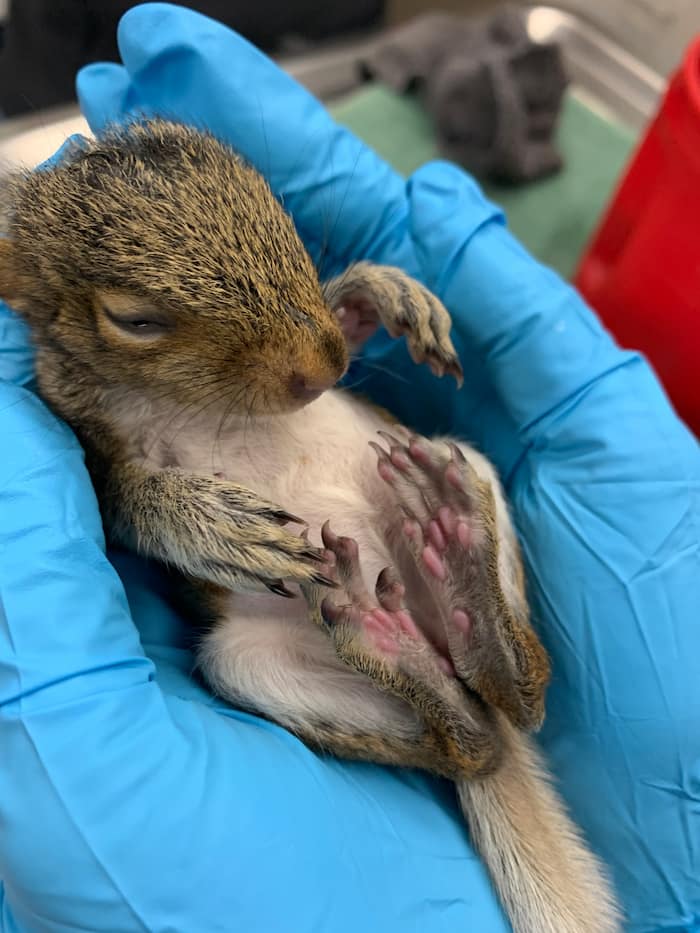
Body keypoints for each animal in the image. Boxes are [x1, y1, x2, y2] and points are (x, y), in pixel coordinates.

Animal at [0, 119, 620, 933]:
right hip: (249, 665)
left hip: (467, 464)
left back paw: (465, 566)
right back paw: (396, 644)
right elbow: (126, 501)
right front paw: (217, 525)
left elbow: (354, 320)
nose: (319, 368)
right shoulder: (79, 429)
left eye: (275, 202)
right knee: (471, 742)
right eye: (136, 320)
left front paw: (382, 291)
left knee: (520, 694)